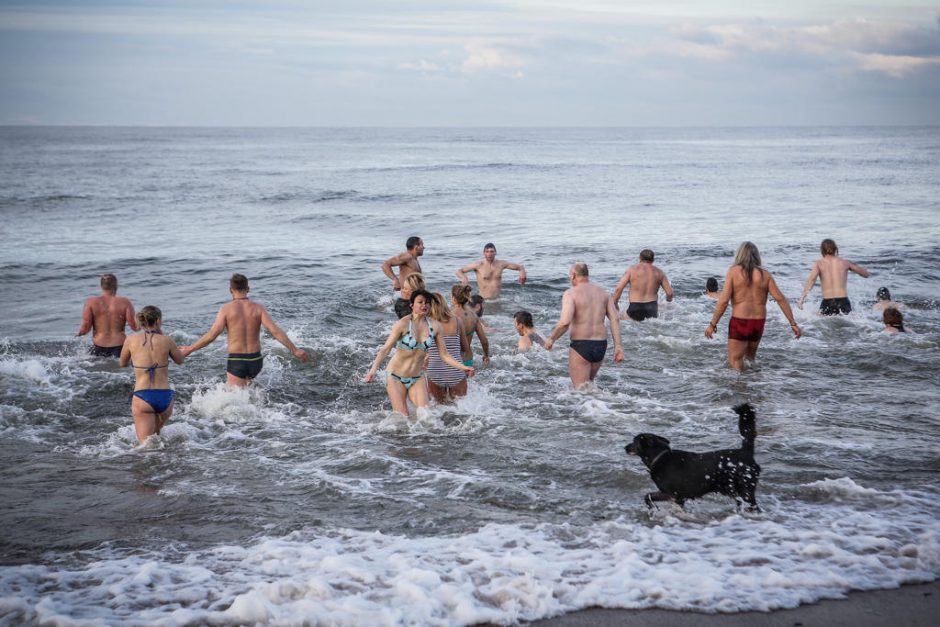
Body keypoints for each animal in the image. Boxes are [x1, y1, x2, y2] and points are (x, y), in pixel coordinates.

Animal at [628, 404, 760, 512]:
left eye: (634, 442)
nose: (625, 447)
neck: (660, 457)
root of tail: (746, 451)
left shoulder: (670, 494)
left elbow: (648, 496)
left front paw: (652, 507)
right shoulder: (679, 499)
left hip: (745, 489)